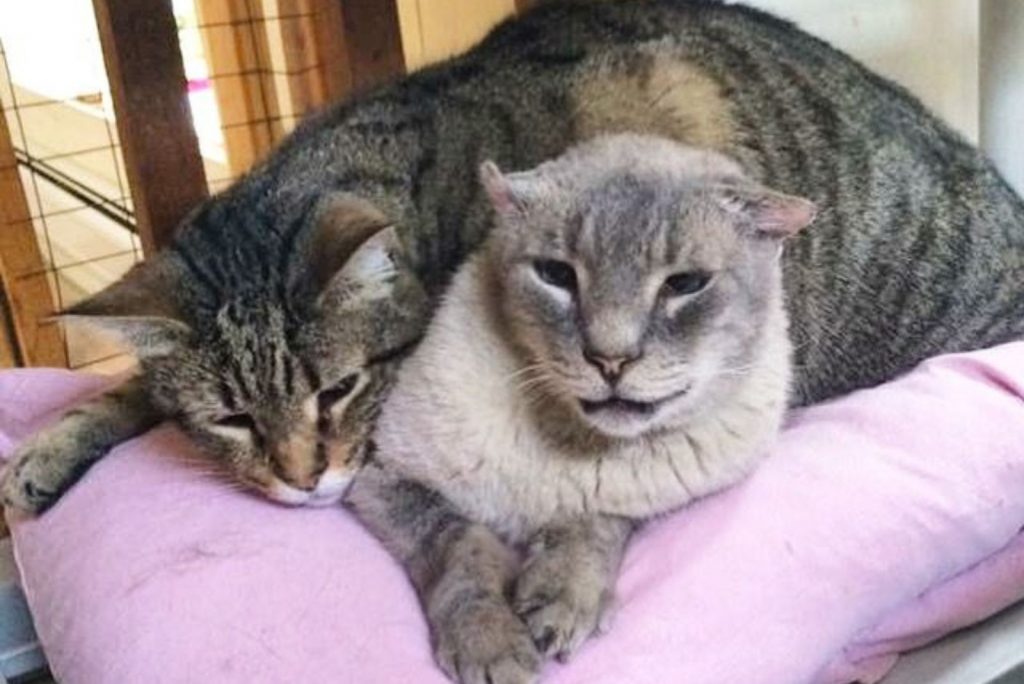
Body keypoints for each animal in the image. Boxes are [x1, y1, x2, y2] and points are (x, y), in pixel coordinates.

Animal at [348, 135, 811, 684]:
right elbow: (461, 544)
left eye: (685, 284)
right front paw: (493, 645)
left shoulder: (630, 506)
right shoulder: (386, 479)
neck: (570, 440)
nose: (610, 360)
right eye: (556, 275)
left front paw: (560, 603)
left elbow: (590, 529)